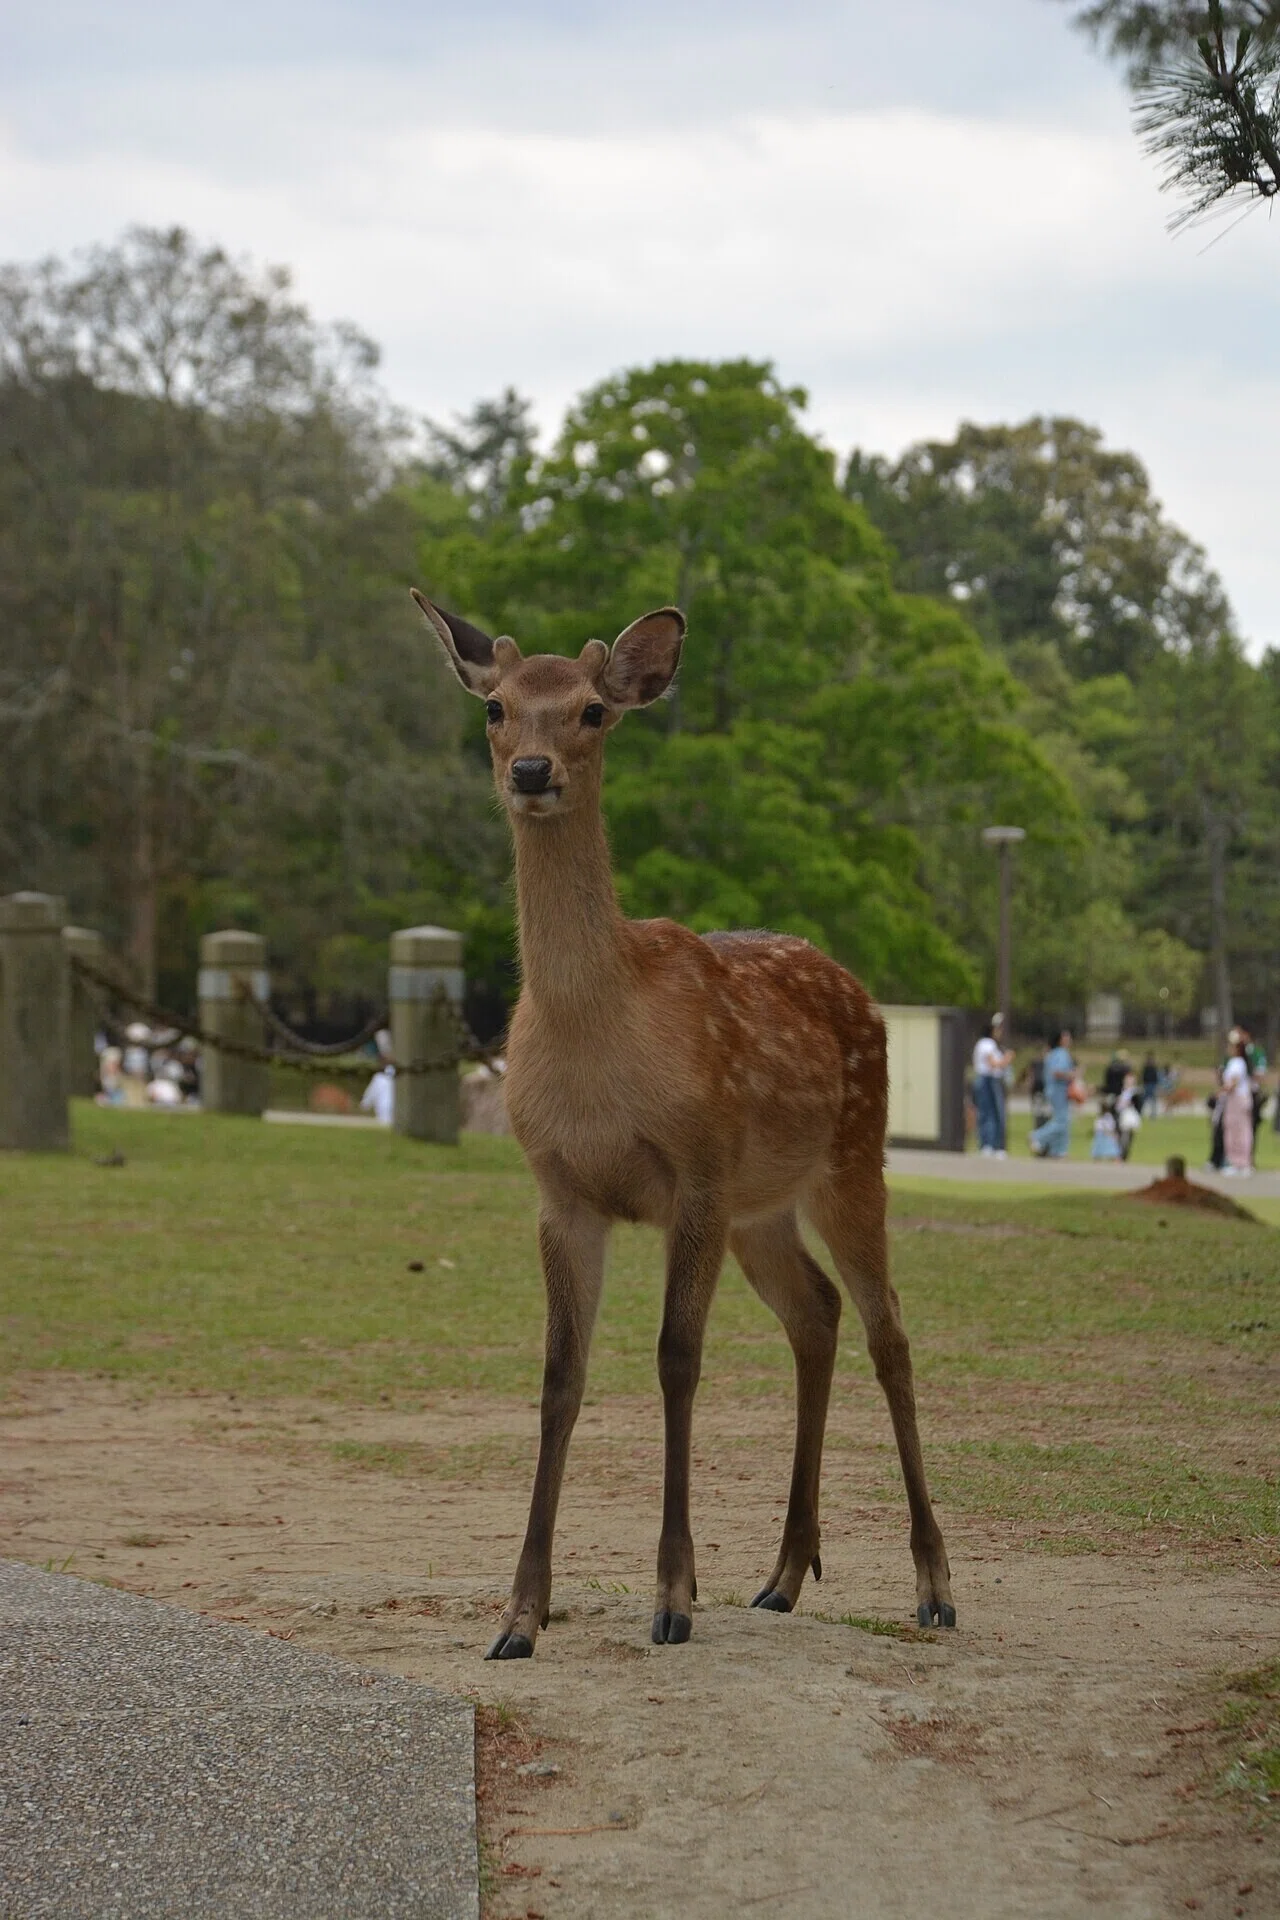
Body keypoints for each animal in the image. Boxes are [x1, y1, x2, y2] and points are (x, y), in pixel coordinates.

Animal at [411, 589, 955, 1658]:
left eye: (592, 710)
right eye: (495, 707)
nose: (532, 772)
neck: (597, 1035)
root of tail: (861, 990)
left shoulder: (696, 1171)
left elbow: (676, 1361)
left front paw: (671, 1597)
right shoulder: (560, 1191)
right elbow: (560, 1375)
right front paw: (520, 1616)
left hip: (853, 1158)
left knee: (889, 1332)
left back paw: (934, 1585)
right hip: (762, 1210)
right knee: (816, 1314)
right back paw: (782, 1576)